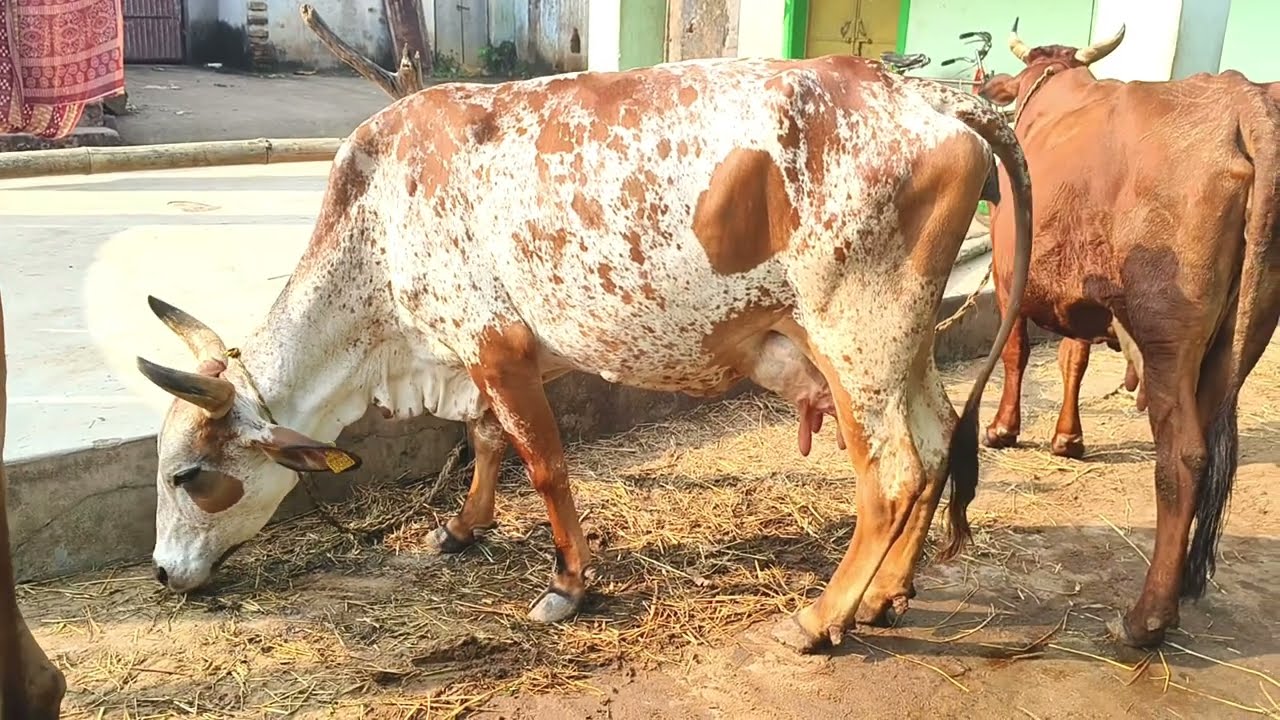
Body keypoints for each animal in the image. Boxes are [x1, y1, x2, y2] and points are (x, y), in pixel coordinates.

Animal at [134, 55, 1032, 653]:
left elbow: (544, 465)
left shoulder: (494, 347)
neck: (377, 226)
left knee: (896, 473)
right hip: (903, 345)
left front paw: (568, 584)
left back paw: (821, 618)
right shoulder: (487, 358)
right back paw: (887, 595)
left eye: (187, 475)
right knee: (938, 441)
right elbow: (486, 440)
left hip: (856, 338)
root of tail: (928, 94)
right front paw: (461, 529)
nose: (163, 574)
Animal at [977, 22, 1279, 648]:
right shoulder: (1080, 297)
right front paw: (1067, 439)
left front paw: (1002, 429)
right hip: (1242, 335)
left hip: (1167, 332)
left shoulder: (1007, 274)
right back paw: (1183, 582)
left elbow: (1017, 351)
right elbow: (1072, 360)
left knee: (1184, 455)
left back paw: (1148, 617)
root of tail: (1242, 97)